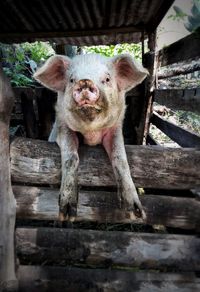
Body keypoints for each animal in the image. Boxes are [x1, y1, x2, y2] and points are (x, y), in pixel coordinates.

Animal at [33, 52, 148, 221]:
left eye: (107, 79)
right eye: (72, 79)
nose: (85, 81)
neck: (91, 131)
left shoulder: (115, 128)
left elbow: (120, 158)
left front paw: (136, 214)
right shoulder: (63, 126)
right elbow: (71, 157)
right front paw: (67, 215)